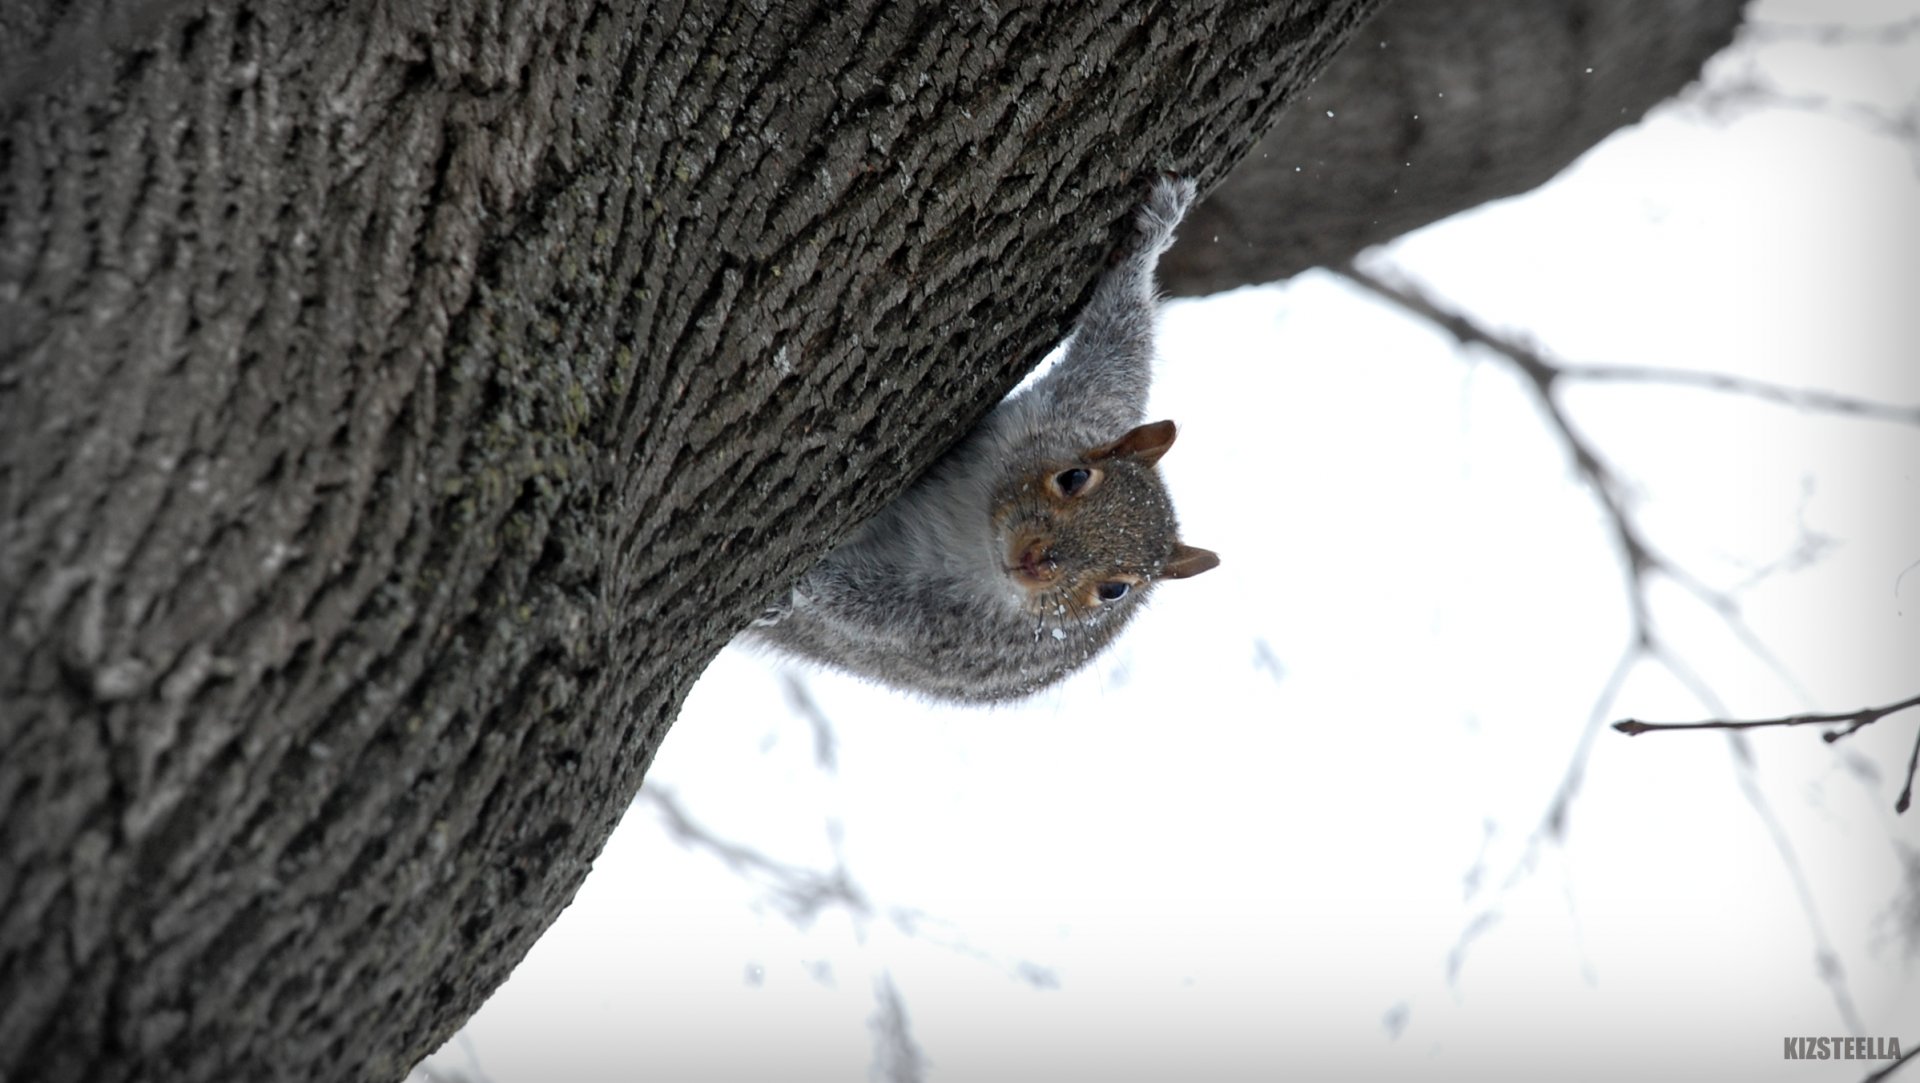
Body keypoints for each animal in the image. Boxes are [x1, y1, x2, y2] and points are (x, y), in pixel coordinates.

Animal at [741, 176, 1221, 702]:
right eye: (1074, 477)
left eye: (1115, 591)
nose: (1034, 562)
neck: (984, 534)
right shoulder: (1085, 406)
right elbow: (1118, 344)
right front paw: (1155, 233)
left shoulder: (961, 626)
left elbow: (880, 610)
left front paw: (800, 586)